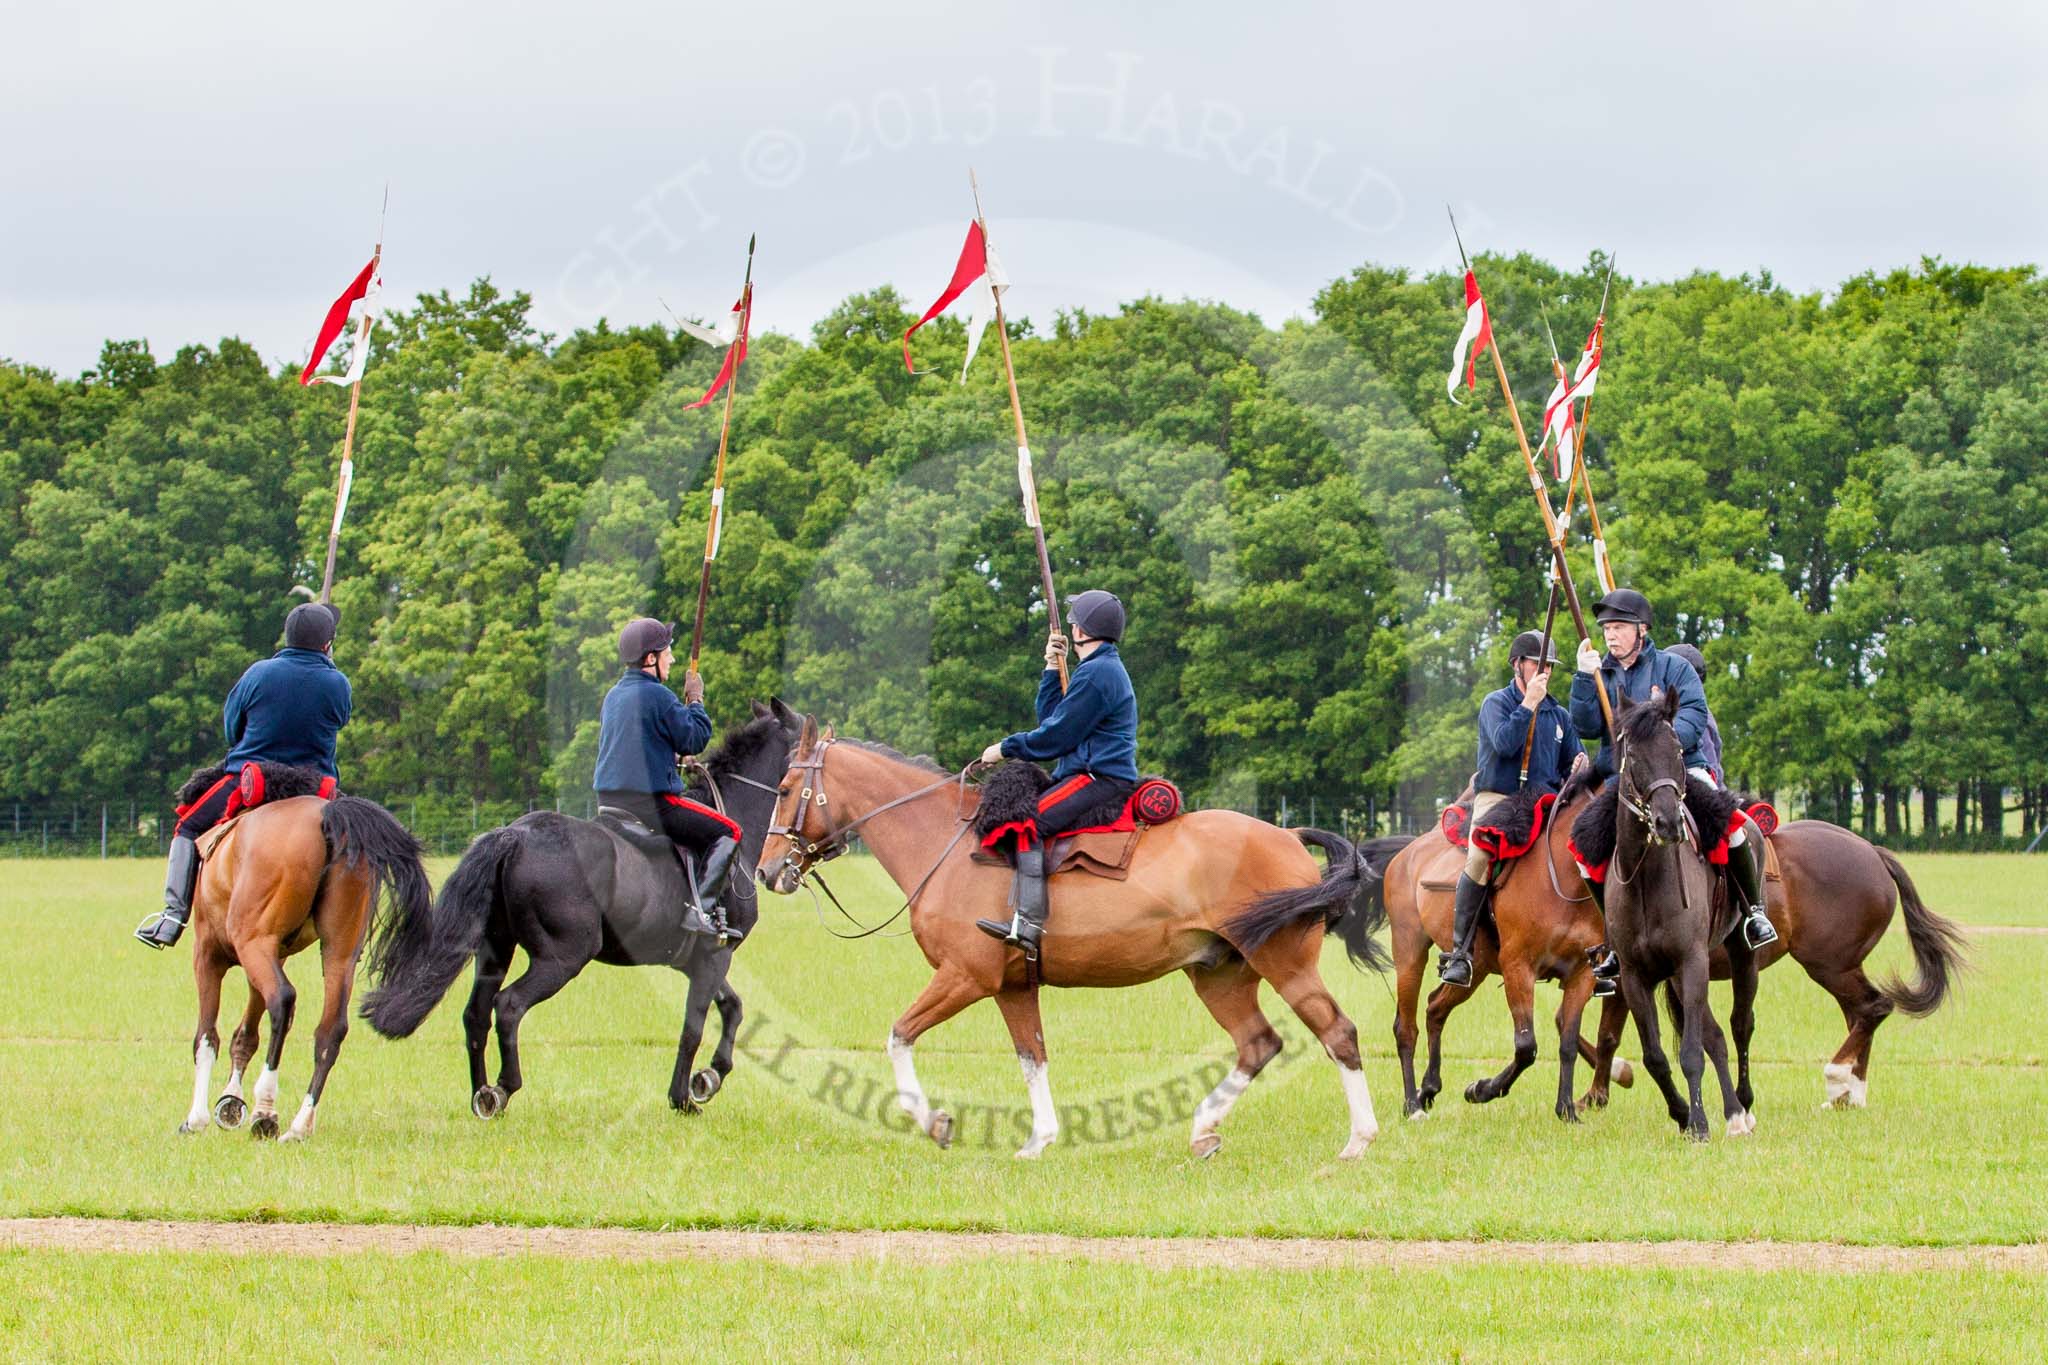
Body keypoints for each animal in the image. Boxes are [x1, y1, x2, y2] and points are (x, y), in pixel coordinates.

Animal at [175, 789, 428, 1146]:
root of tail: (327, 816)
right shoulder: (272, 955)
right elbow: (247, 1034)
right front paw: (231, 1102)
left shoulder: (209, 955)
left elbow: (207, 1037)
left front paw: (197, 1119)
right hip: (338, 953)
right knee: (331, 1029)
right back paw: (299, 1125)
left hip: (253, 944)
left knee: (282, 1000)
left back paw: (266, 1110)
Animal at [360, 703, 798, 1121]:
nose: (781, 870)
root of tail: (514, 834)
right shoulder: (713, 957)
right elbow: (694, 1028)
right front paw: (683, 1098)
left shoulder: (697, 961)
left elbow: (732, 1008)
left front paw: (708, 1078)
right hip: (562, 958)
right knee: (509, 1006)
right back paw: (503, 1088)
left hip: (496, 950)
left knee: (476, 1014)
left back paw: (482, 1094)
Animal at [757, 720, 1392, 1162]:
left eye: (785, 788)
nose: (766, 872)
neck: (945, 842)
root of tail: (1287, 835)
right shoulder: (1012, 987)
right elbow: (1032, 1058)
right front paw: (1040, 1139)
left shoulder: (965, 977)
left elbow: (898, 1037)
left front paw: (933, 1121)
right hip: (1220, 974)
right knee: (1259, 1044)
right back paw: (1203, 1130)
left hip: (1284, 964)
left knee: (1337, 1033)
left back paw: (1358, 1140)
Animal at [1572, 687, 1753, 1146]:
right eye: (1632, 754)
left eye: (1676, 749)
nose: (1668, 821)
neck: (1646, 880)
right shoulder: (1636, 976)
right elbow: (1655, 1056)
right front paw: (1683, 1113)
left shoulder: (1692, 962)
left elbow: (1689, 1053)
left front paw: (1700, 1124)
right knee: (1716, 1037)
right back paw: (1732, 1112)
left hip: (1739, 955)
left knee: (1740, 1026)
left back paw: (1742, 1107)